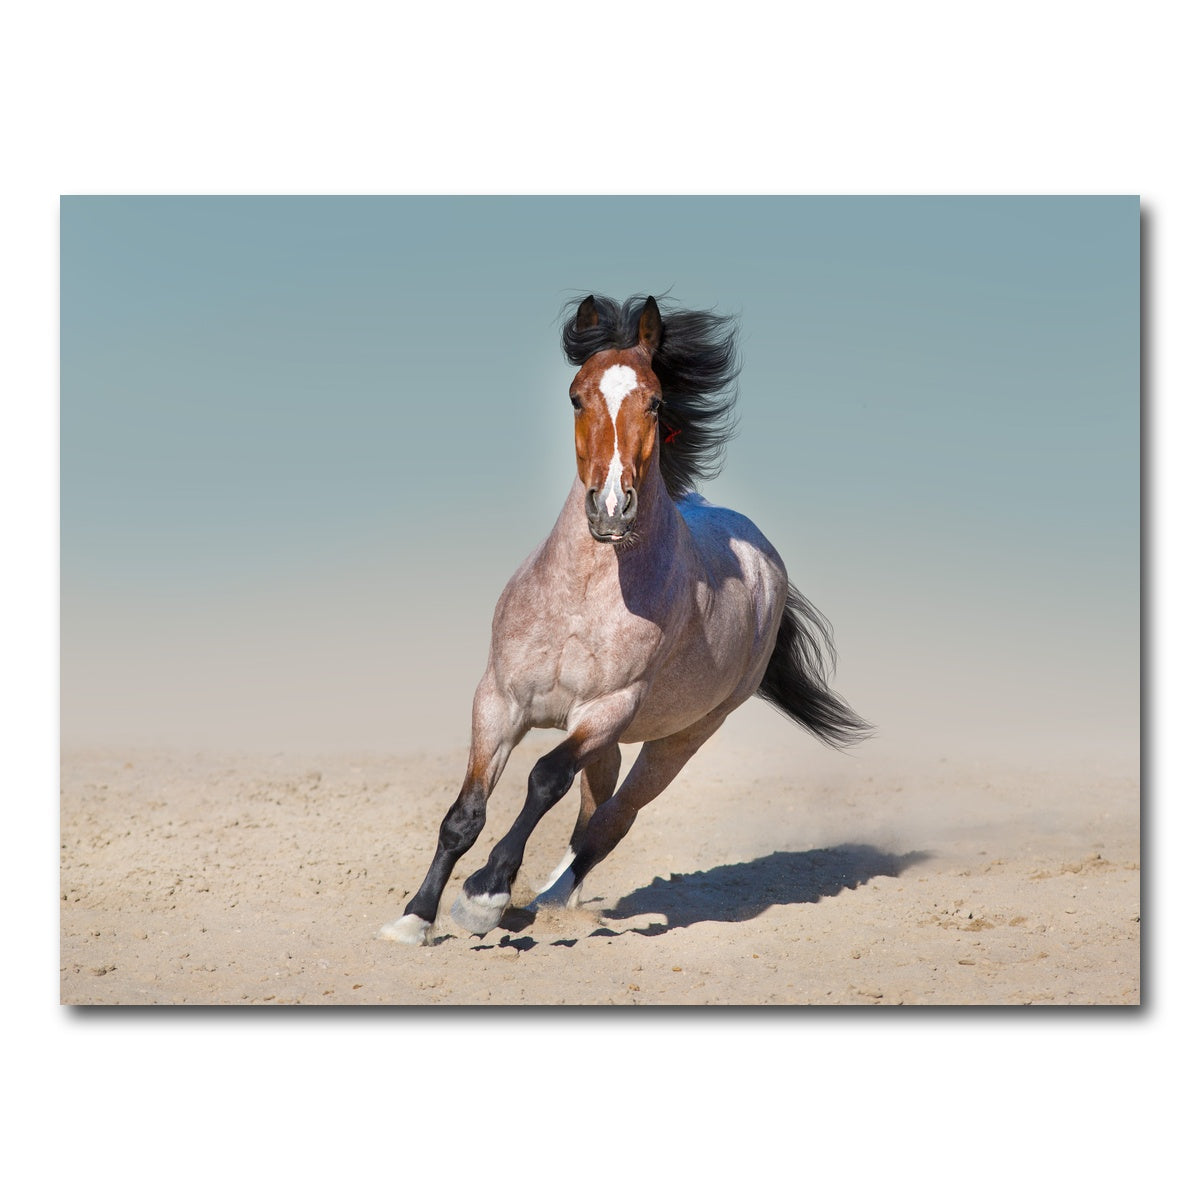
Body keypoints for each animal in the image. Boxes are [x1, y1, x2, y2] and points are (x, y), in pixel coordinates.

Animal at [380, 293, 869, 946]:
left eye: (655, 400)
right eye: (575, 396)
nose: (611, 508)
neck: (582, 599)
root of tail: (765, 559)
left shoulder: (606, 709)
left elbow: (544, 780)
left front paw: (484, 895)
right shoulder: (499, 701)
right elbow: (465, 814)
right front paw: (415, 917)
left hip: (680, 738)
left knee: (613, 820)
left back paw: (544, 899)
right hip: (609, 743)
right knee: (593, 813)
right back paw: (542, 900)